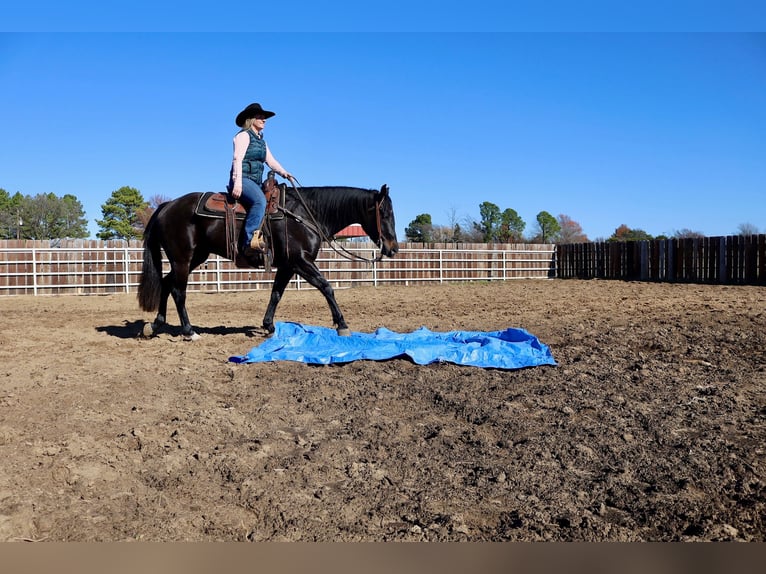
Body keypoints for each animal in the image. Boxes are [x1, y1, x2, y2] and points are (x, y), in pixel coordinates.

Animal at [137, 182, 400, 340]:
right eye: (385, 213)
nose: (393, 248)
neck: (305, 215)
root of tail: (166, 206)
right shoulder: (301, 261)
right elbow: (326, 287)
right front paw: (342, 324)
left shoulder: (287, 265)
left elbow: (276, 294)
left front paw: (269, 326)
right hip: (183, 258)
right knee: (178, 291)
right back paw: (189, 331)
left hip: (194, 257)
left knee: (166, 283)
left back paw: (155, 325)